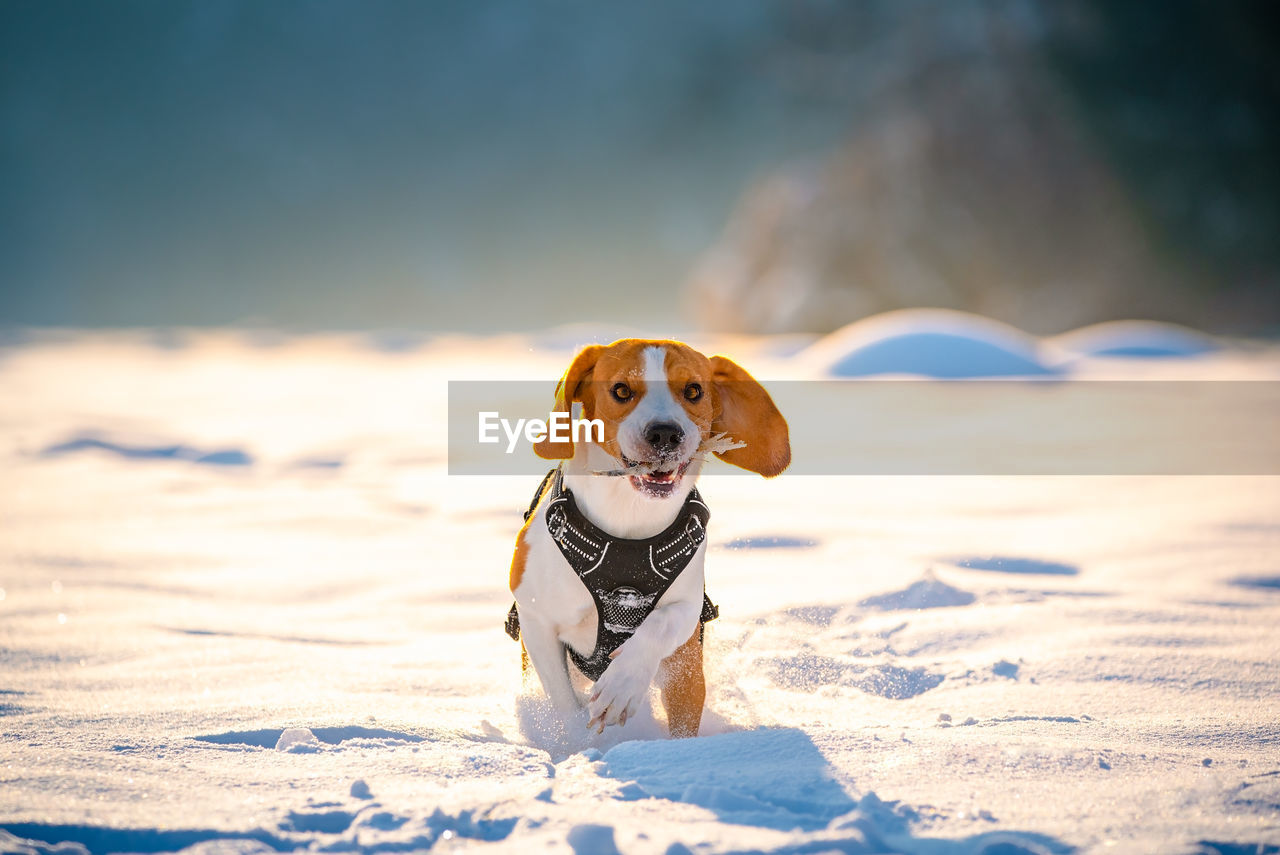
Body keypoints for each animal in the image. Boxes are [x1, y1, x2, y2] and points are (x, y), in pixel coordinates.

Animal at [509, 337, 788, 737]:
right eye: (621, 390)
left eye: (693, 390)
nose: (665, 433)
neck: (629, 518)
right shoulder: (536, 619)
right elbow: (564, 703)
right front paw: (577, 742)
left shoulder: (688, 610)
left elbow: (661, 623)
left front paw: (622, 685)